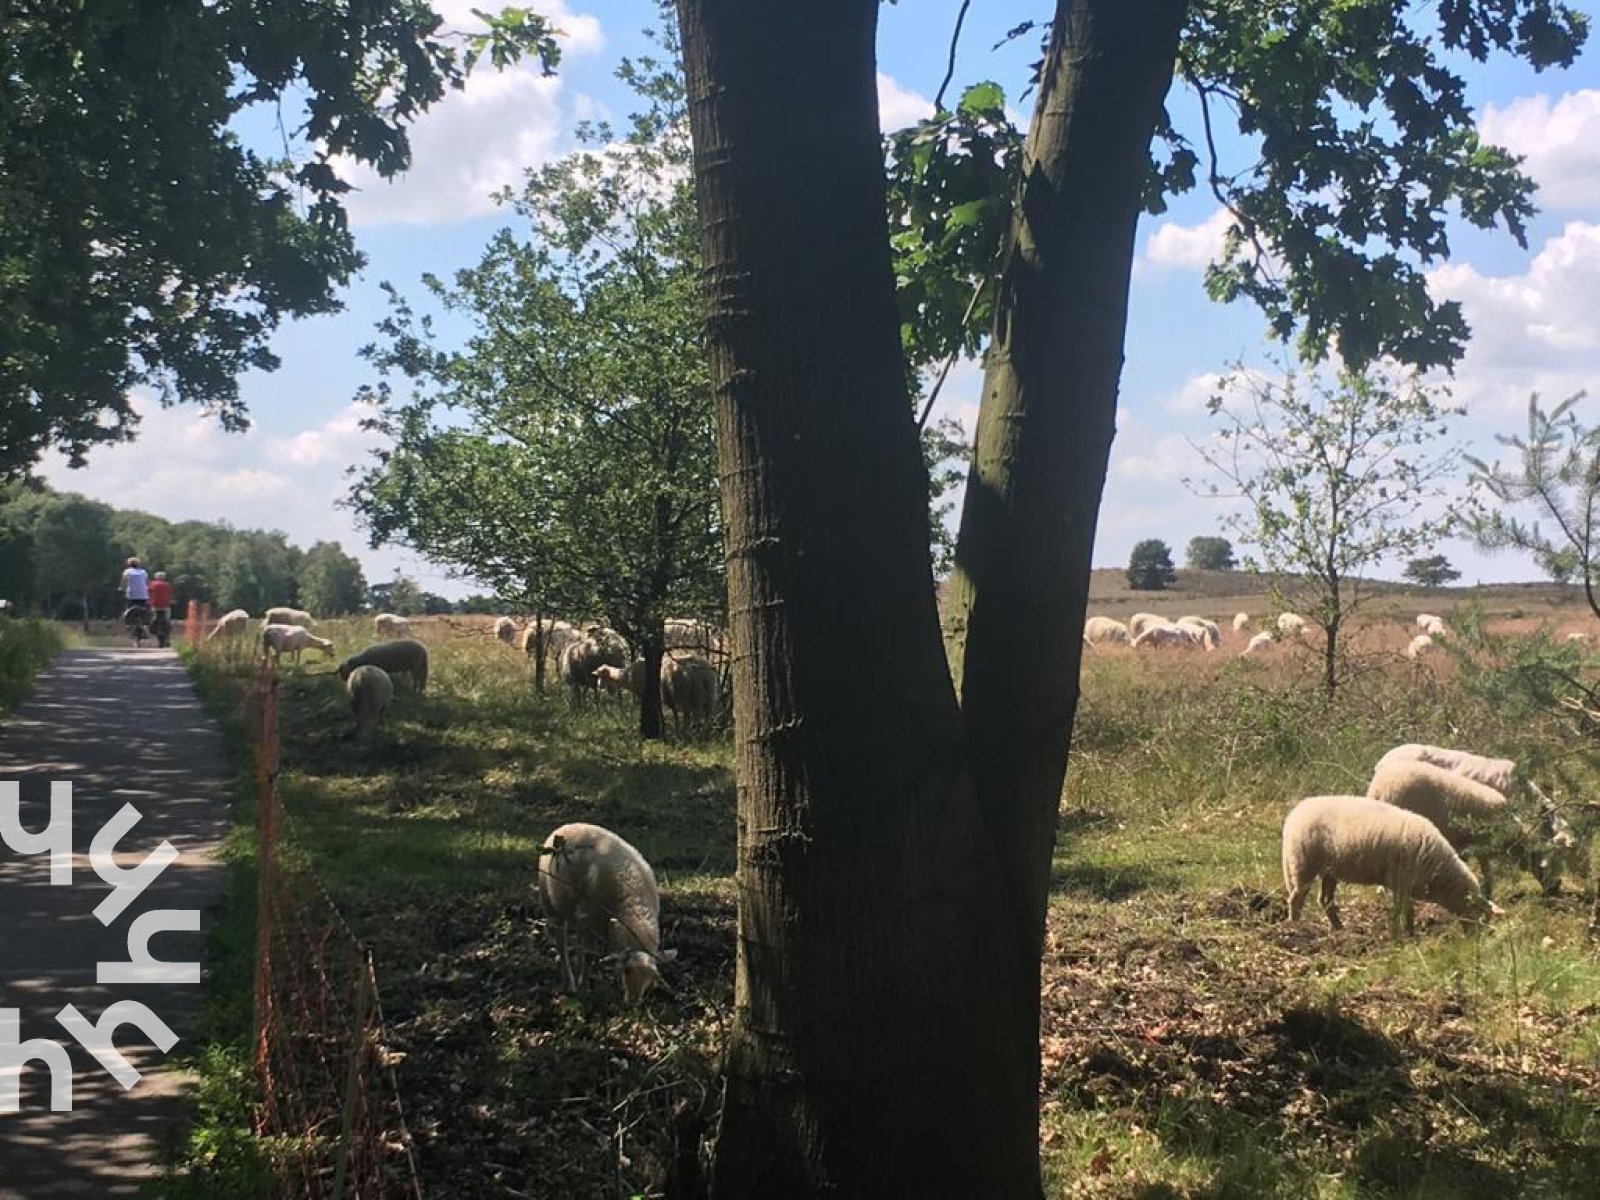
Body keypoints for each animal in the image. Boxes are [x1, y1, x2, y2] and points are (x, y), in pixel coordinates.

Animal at [537, 825, 675, 998]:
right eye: (627, 970)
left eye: (652, 977)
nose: (634, 1001)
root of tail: (566, 826)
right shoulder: (588, 919)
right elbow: (589, 956)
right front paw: (584, 989)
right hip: (551, 904)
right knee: (561, 942)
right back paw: (569, 983)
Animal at [1273, 800, 1497, 940]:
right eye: (1476, 912)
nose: (1475, 939)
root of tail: (1294, 814)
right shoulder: (1400, 880)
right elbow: (1399, 910)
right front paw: (1398, 936)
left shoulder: (1404, 884)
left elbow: (1408, 909)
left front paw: (1410, 933)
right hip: (1303, 863)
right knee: (1296, 899)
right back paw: (1295, 927)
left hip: (1330, 870)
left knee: (1325, 900)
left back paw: (1340, 929)